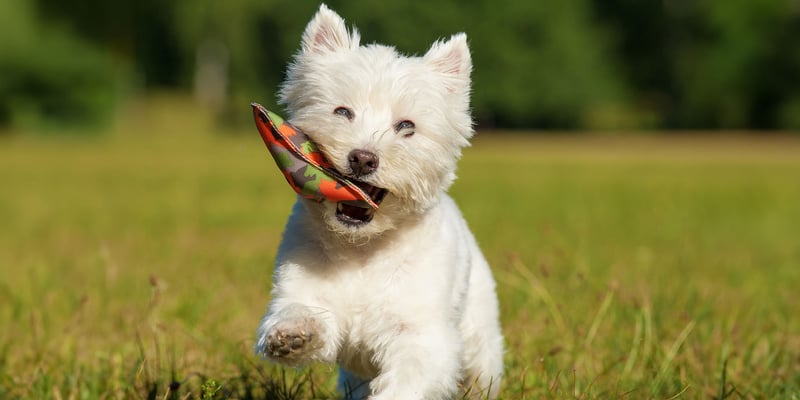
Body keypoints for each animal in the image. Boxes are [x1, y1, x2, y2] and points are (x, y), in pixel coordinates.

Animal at [256, 4, 504, 398]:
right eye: (342, 112)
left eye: (407, 126)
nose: (363, 158)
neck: (363, 249)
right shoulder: (303, 288)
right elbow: (302, 312)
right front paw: (292, 334)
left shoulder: (421, 334)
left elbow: (408, 380)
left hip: (480, 340)